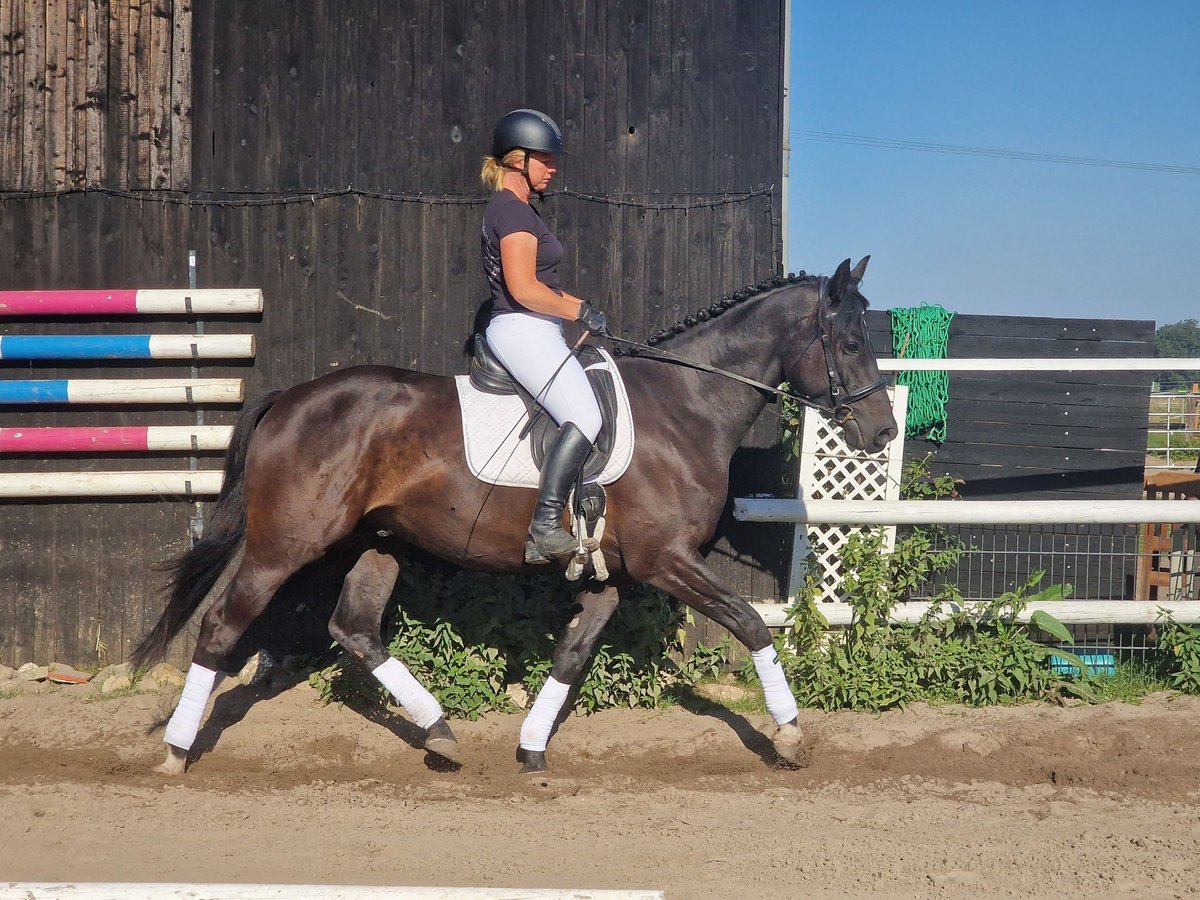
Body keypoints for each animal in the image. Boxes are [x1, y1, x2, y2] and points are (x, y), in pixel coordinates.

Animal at [133, 255, 902, 777]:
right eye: (851, 342)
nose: (884, 432)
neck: (686, 405)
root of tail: (290, 398)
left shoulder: (609, 574)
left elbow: (572, 654)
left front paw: (531, 750)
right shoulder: (666, 561)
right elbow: (749, 624)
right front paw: (791, 735)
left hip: (376, 542)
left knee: (353, 629)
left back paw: (441, 734)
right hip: (284, 543)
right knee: (222, 624)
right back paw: (176, 751)